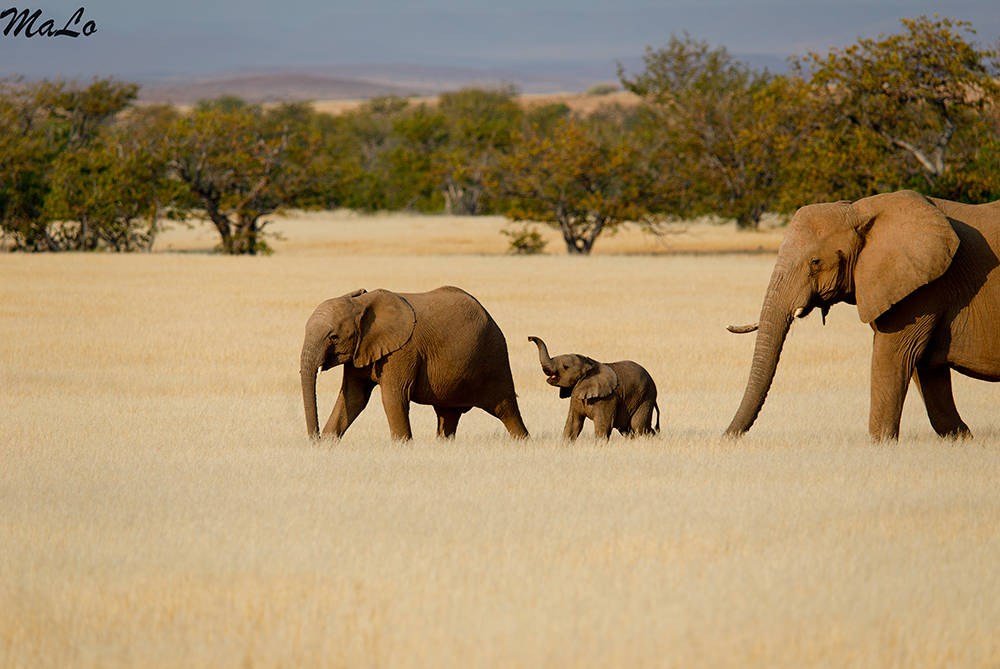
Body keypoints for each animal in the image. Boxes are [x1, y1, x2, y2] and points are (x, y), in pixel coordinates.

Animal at [300, 286, 529, 440]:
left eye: (333, 337)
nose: (315, 439)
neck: (362, 303)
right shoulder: (360, 350)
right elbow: (353, 398)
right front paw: (328, 444)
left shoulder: (403, 351)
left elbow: (393, 397)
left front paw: (402, 447)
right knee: (448, 416)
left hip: (494, 357)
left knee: (506, 409)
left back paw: (523, 442)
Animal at [528, 336, 660, 439]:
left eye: (565, 367)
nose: (529, 338)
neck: (589, 365)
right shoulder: (577, 394)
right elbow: (573, 424)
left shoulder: (608, 398)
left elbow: (603, 425)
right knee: (627, 429)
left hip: (645, 396)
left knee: (639, 426)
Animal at [726, 190, 1000, 440]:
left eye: (815, 262)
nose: (725, 437)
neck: (860, 210)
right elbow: (924, 367)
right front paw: (962, 439)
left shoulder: (926, 288)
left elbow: (894, 356)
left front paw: (880, 445)